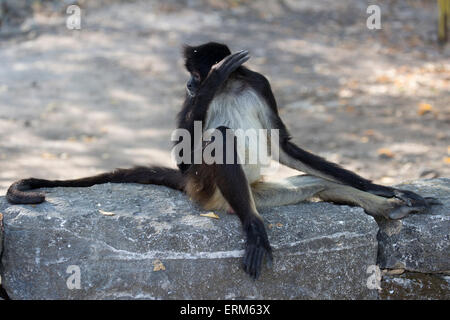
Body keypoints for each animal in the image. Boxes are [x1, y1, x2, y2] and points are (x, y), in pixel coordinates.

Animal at [6, 42, 440, 278]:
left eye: (191, 74)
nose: (189, 84)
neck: (232, 86)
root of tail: (245, 197)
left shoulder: (260, 82)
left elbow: (283, 146)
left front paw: (385, 187)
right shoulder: (195, 112)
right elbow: (187, 154)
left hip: (261, 191)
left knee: (320, 183)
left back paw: (388, 206)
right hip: (206, 187)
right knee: (220, 137)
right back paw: (252, 226)